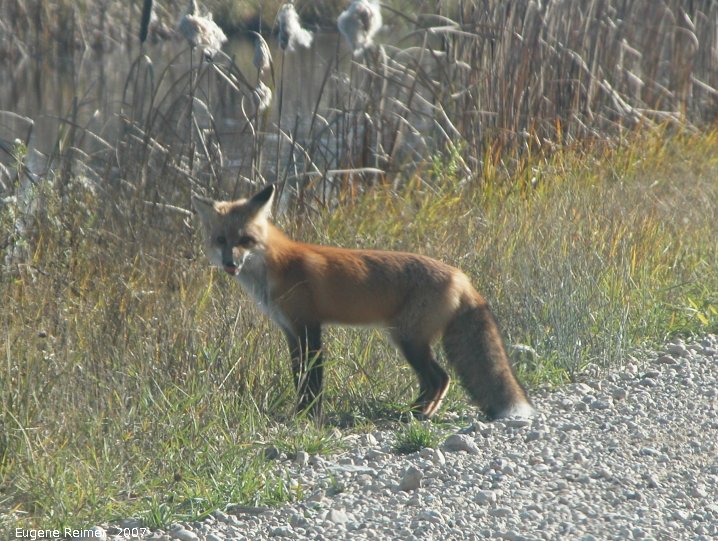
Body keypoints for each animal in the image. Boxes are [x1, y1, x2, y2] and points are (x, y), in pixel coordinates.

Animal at [192, 185, 534, 421]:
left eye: (244, 240)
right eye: (221, 240)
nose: (229, 264)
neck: (277, 266)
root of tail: (462, 276)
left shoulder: (309, 327)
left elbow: (313, 380)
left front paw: (309, 416)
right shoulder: (290, 330)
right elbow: (298, 376)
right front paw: (301, 413)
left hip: (408, 340)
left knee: (440, 378)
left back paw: (415, 415)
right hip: (408, 339)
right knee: (436, 380)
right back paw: (413, 411)